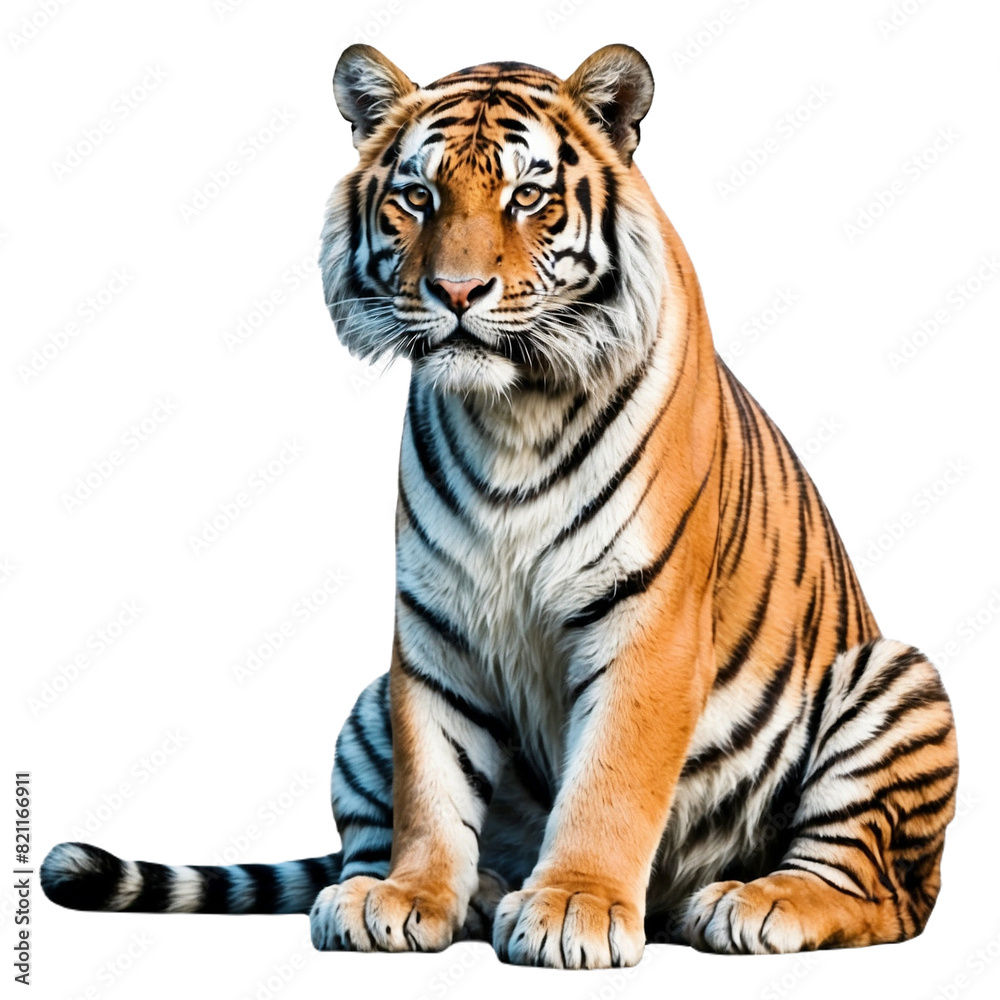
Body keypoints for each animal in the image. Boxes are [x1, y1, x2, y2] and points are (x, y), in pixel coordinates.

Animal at [41, 44, 958, 969]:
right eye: (418, 197)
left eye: (527, 197)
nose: (455, 291)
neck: (513, 410)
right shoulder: (434, 622)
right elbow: (431, 779)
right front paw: (410, 897)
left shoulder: (649, 621)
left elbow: (611, 779)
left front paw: (574, 906)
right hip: (365, 709)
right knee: (366, 836)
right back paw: (418, 892)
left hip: (895, 685)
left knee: (885, 895)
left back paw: (755, 903)